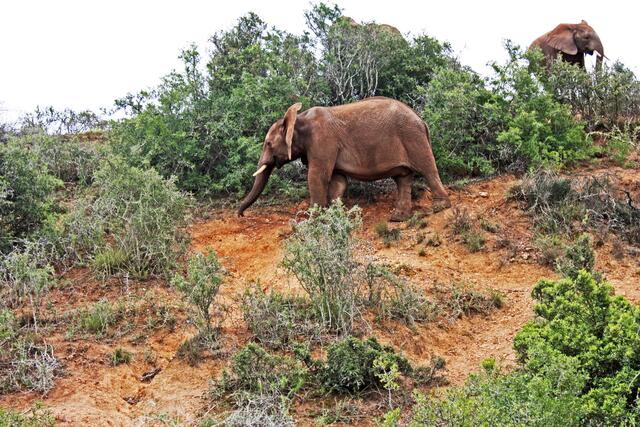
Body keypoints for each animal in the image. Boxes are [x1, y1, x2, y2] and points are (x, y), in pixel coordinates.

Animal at [237, 97, 451, 221]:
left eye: (268, 144)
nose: (241, 215)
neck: (299, 118)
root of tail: (422, 120)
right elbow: (338, 181)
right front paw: (334, 215)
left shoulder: (322, 141)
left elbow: (317, 177)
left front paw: (315, 220)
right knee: (403, 178)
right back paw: (398, 218)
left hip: (413, 137)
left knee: (427, 168)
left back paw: (441, 207)